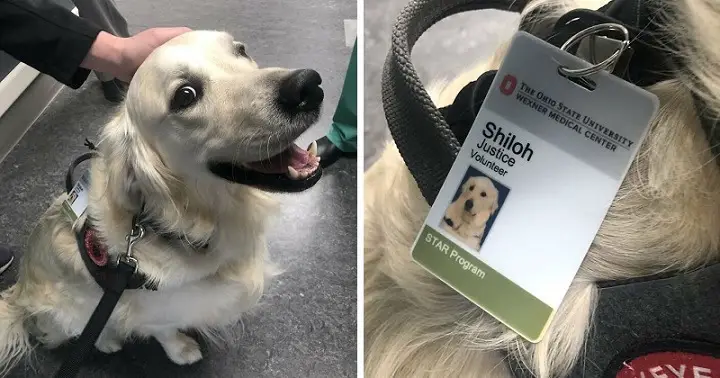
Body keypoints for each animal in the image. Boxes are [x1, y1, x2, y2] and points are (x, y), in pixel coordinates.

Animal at [0, 30, 324, 376]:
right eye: (185, 95)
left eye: (241, 50)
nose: (307, 86)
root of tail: (18, 294)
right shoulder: (149, 310)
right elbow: (164, 331)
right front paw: (181, 350)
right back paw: (107, 340)